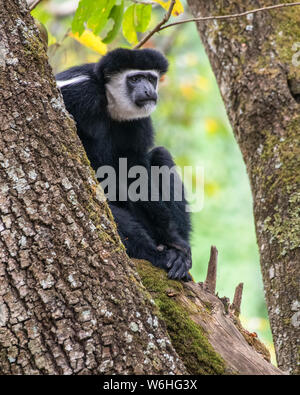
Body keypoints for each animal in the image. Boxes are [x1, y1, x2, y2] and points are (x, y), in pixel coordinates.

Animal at [56, 48, 192, 282]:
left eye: (151, 78)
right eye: (135, 78)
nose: (148, 91)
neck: (109, 102)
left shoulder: (138, 122)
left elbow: (135, 171)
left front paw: (176, 243)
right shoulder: (79, 93)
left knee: (161, 155)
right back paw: (156, 255)